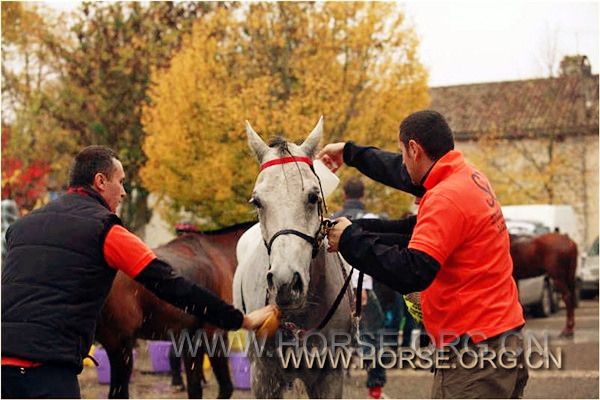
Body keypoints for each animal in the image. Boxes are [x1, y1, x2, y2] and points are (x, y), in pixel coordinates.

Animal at [95, 220, 254, 398]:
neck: (223, 254)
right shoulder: (213, 333)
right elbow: (226, 387)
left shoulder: (191, 339)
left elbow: (195, 388)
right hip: (121, 346)